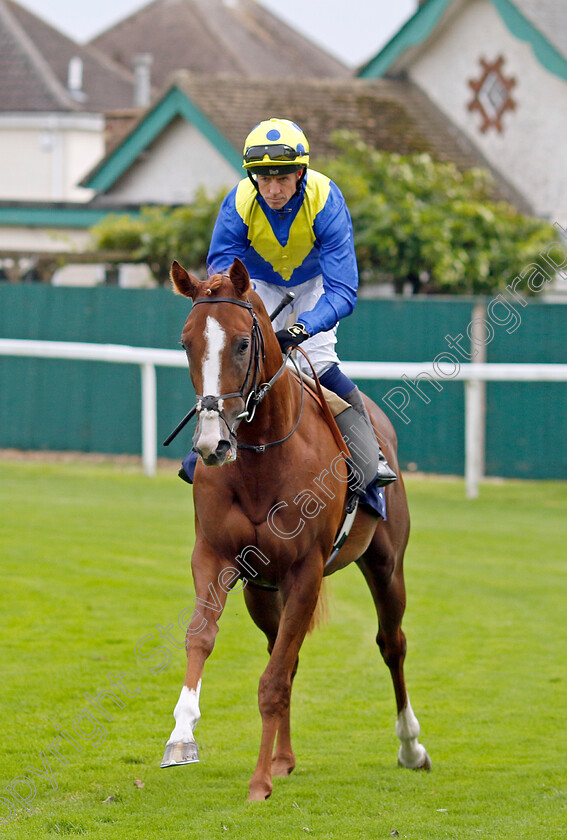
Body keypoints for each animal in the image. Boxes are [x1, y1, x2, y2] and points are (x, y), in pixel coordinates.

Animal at [162, 256, 428, 800]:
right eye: (186, 342)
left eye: (243, 343)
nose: (212, 444)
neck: (262, 461)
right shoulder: (216, 558)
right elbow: (203, 638)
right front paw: (182, 735)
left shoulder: (306, 571)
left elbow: (273, 680)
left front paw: (259, 782)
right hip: (261, 590)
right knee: (283, 653)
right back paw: (284, 757)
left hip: (386, 564)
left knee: (391, 643)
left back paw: (411, 747)